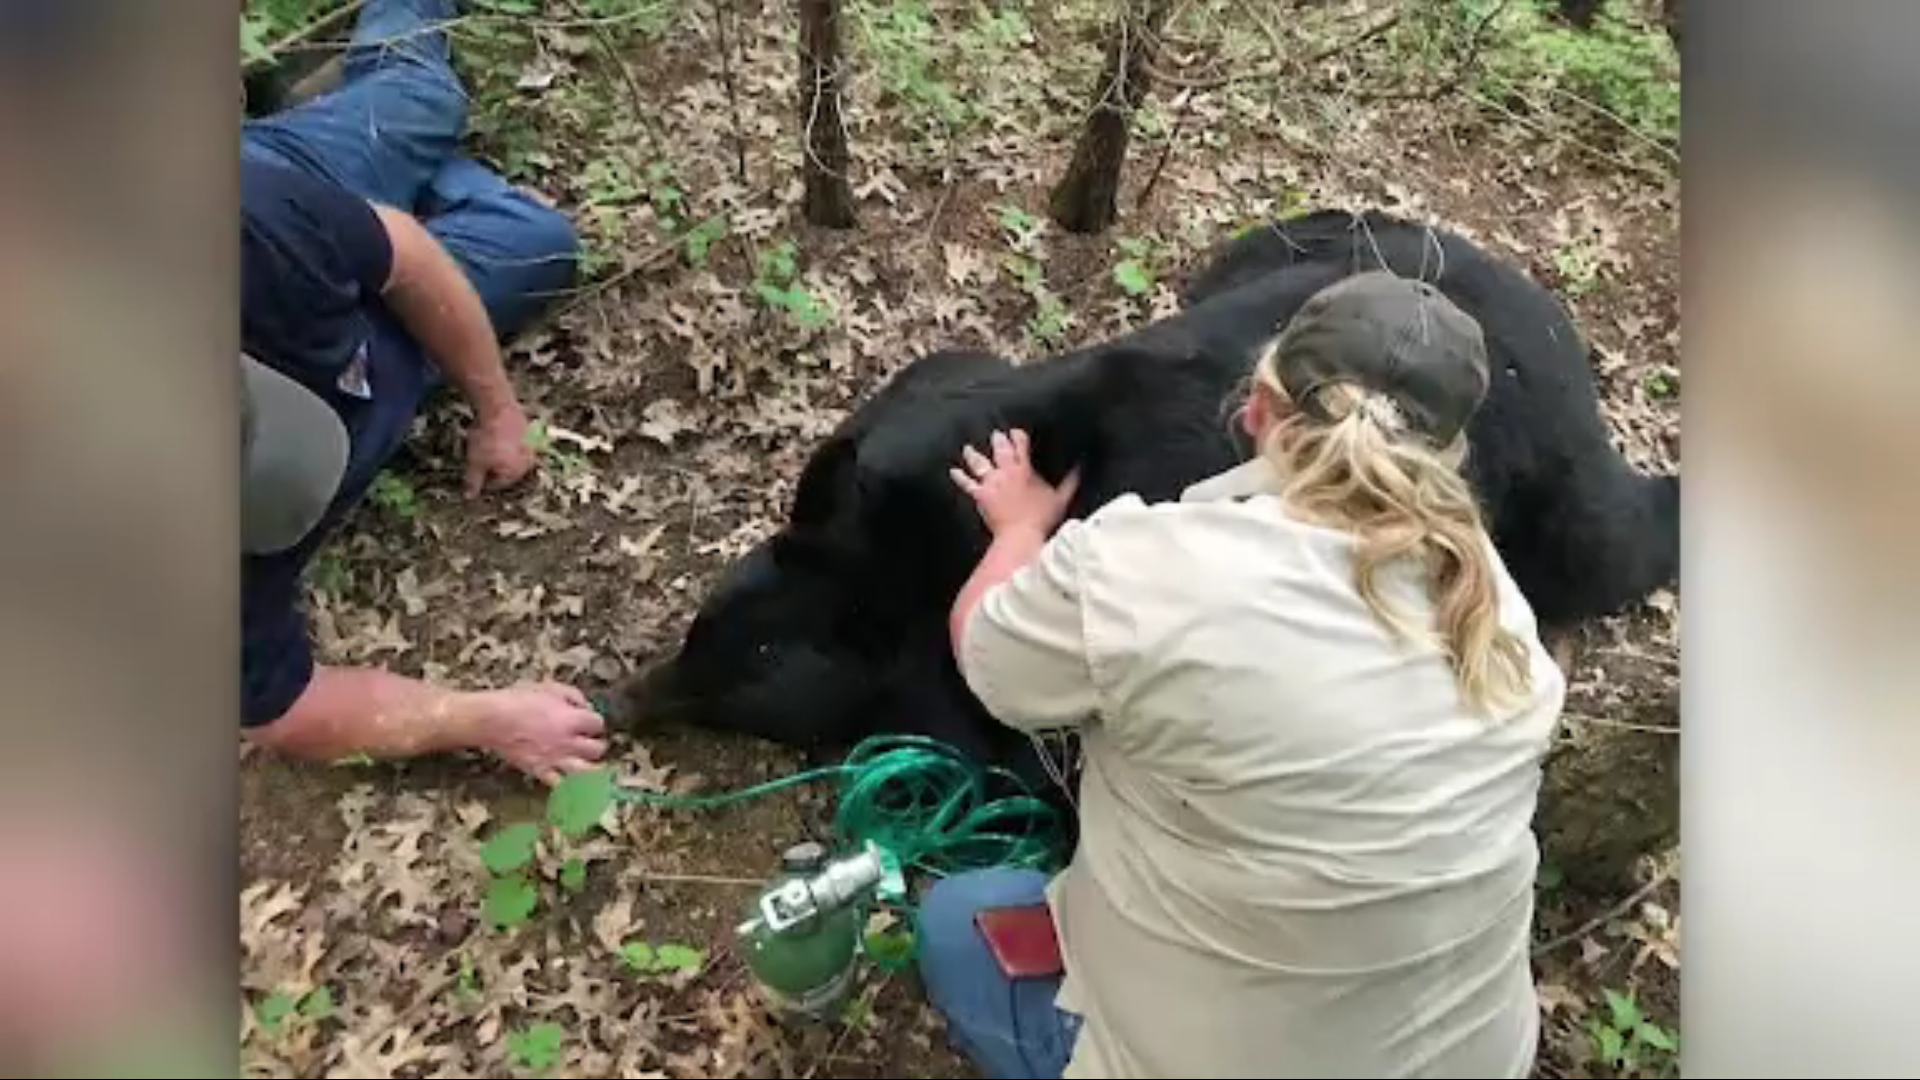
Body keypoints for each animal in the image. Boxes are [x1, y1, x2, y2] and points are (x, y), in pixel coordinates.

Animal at [618, 205, 1681, 803]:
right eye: (706, 618)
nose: (628, 694)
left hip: (1554, 489)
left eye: (757, 666)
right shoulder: (930, 416)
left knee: (1611, 541)